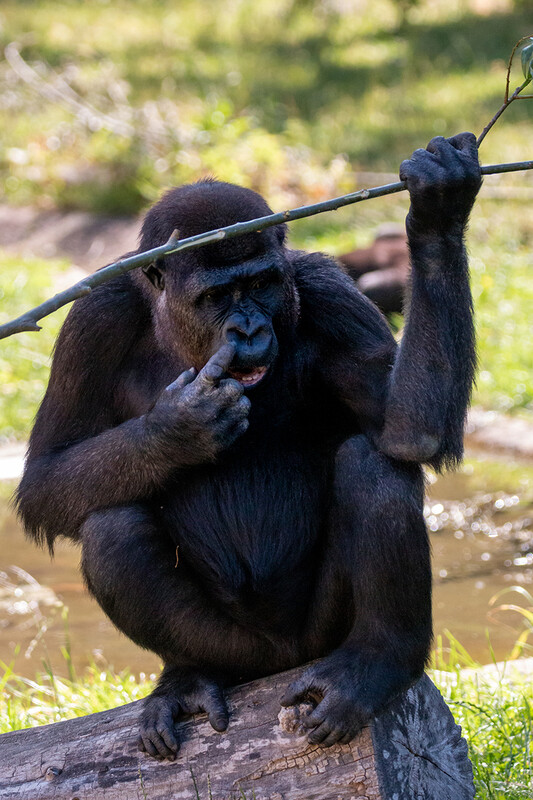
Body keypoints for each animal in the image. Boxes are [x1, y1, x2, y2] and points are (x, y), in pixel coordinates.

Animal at [17, 131, 478, 756]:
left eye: (261, 284)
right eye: (218, 296)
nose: (250, 330)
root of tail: (278, 663)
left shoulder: (329, 290)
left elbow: (407, 430)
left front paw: (437, 212)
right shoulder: (94, 317)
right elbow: (46, 475)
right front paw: (178, 428)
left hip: (318, 638)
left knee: (374, 465)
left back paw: (377, 660)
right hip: (237, 651)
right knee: (113, 529)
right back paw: (189, 676)